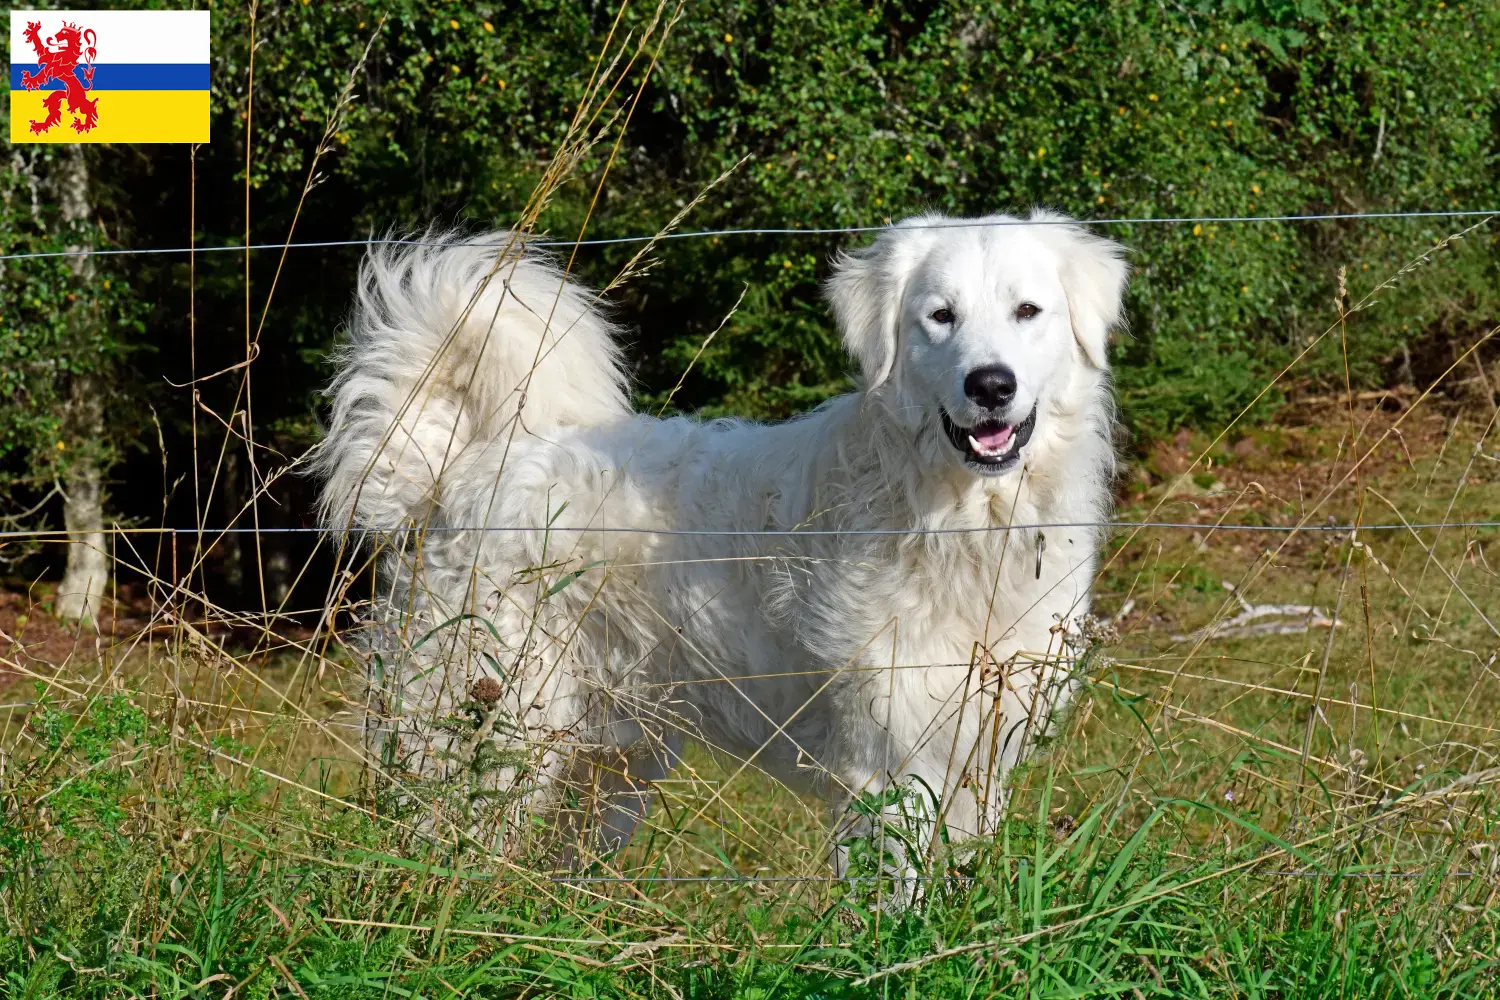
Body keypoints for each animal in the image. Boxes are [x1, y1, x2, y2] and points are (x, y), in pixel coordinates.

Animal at [322, 212, 1128, 869]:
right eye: (940, 317)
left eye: (1027, 311)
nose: (990, 384)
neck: (962, 519)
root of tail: (460, 467)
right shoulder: (889, 770)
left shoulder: (978, 757)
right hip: (484, 740)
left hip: (604, 769)